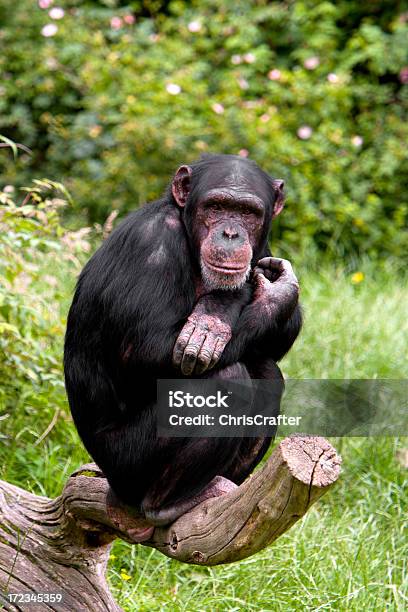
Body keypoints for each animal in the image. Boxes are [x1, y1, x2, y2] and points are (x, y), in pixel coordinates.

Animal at [63, 153, 300, 540]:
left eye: (247, 212)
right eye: (216, 206)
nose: (231, 233)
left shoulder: (262, 248)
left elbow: (282, 331)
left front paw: (270, 293)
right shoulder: (151, 244)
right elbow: (148, 348)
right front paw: (218, 313)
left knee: (266, 371)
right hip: (127, 463)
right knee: (224, 380)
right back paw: (166, 504)